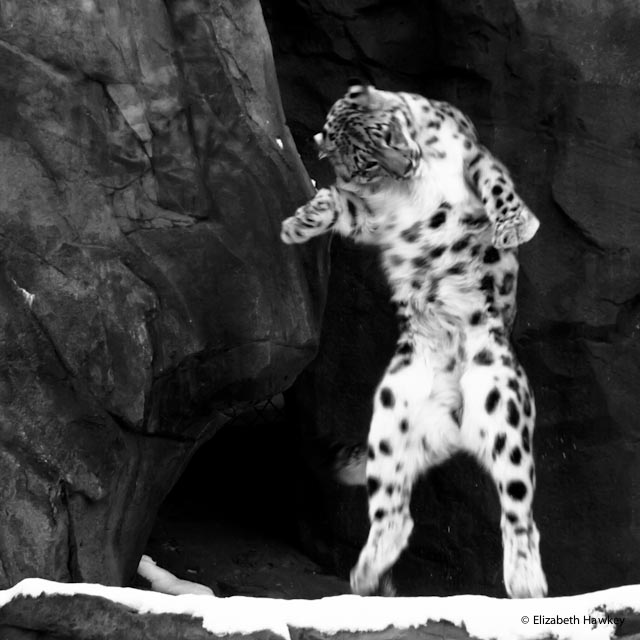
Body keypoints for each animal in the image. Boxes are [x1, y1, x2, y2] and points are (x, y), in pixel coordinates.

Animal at [281, 83, 547, 599]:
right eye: (365, 164)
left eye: (389, 133)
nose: (405, 165)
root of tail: (456, 417)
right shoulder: (373, 215)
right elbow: (346, 206)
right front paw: (304, 219)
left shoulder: (472, 156)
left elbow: (496, 187)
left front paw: (514, 225)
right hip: (391, 418)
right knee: (394, 510)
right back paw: (366, 574)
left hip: (503, 405)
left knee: (519, 509)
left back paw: (526, 581)